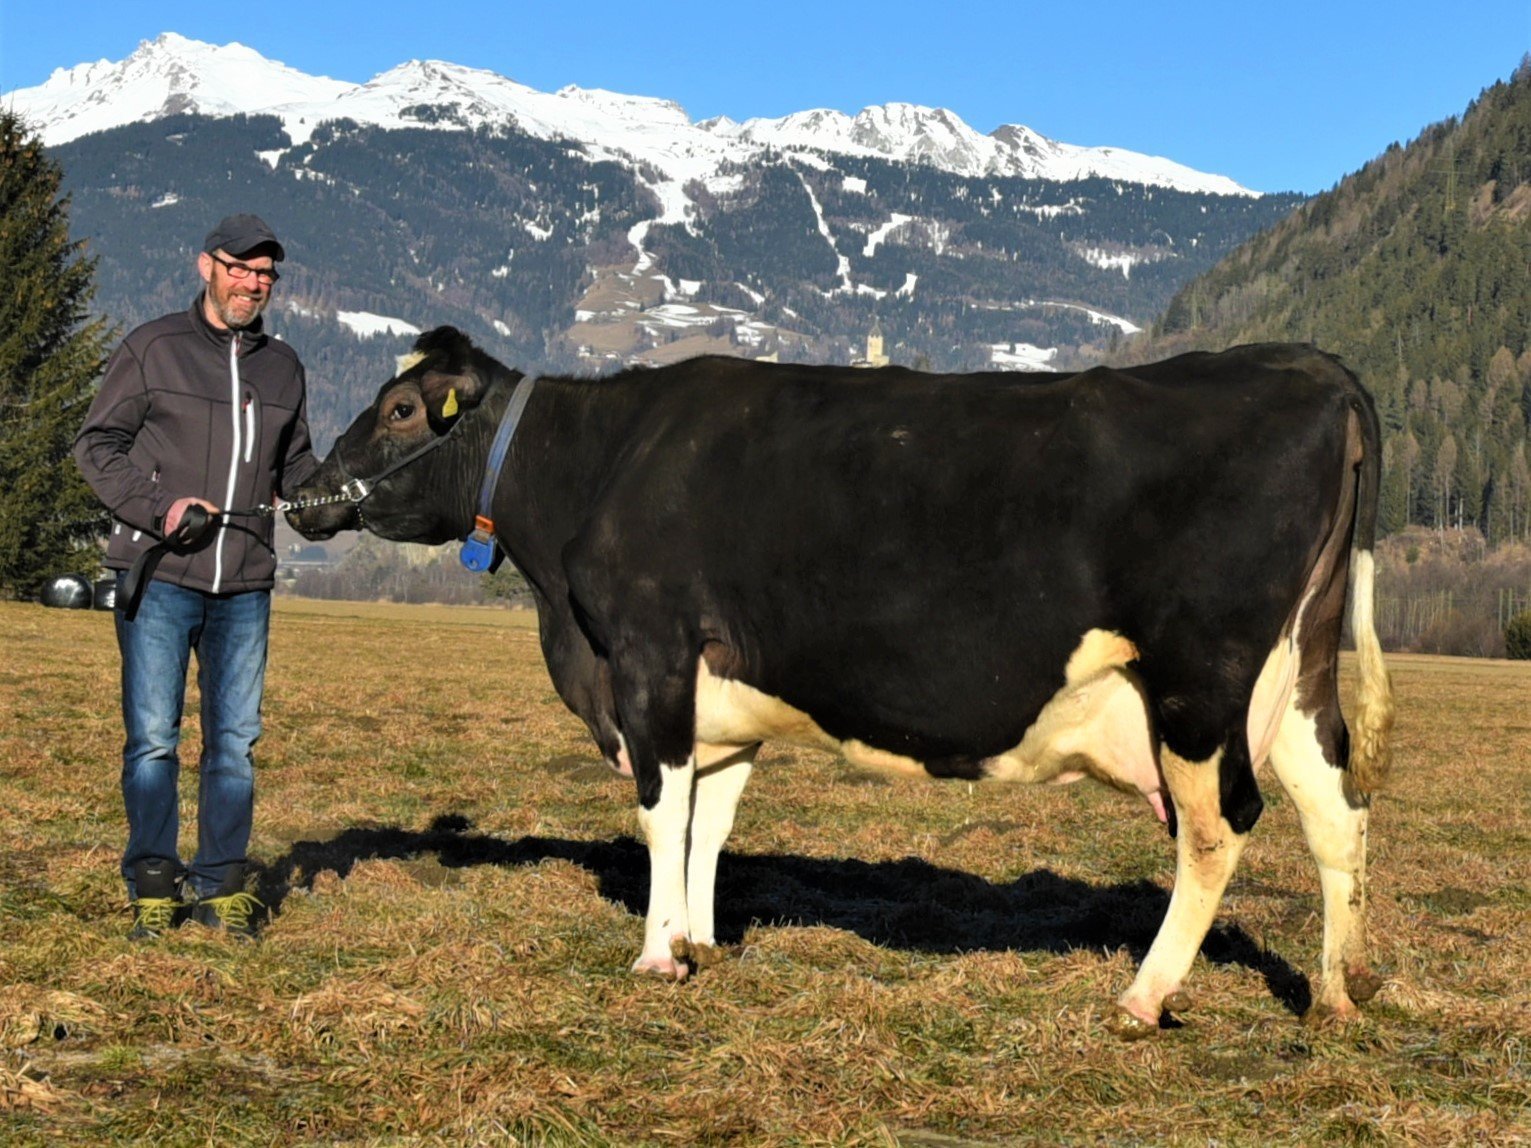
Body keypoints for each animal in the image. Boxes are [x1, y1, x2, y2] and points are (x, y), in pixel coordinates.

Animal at [281, 327, 1396, 1040]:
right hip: (1297, 669)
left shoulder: (648, 655)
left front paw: (655, 955)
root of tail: (1305, 365)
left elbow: (661, 815)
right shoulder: (724, 690)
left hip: (1198, 679)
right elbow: (711, 821)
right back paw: (1340, 988)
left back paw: (1143, 995)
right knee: (1335, 807)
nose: (300, 491)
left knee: (1218, 827)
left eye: (399, 408)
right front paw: (699, 939)